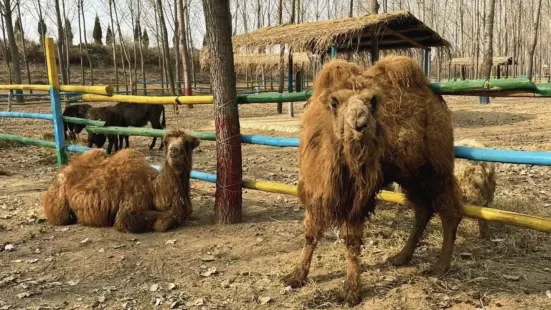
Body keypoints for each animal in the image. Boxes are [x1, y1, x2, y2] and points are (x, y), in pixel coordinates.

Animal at [43, 130, 199, 234]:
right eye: (166, 142)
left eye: (187, 143)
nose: (174, 151)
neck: (155, 188)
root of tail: (64, 169)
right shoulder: (128, 210)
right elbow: (163, 221)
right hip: (59, 205)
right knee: (61, 218)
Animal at [282, 57, 464, 306]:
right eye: (335, 102)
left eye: (372, 101)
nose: (360, 121)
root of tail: (437, 101)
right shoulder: (317, 190)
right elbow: (311, 232)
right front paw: (295, 276)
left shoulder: (356, 198)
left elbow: (351, 240)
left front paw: (351, 291)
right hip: (410, 175)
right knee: (423, 209)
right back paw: (401, 257)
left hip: (435, 169)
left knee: (448, 210)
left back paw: (440, 265)